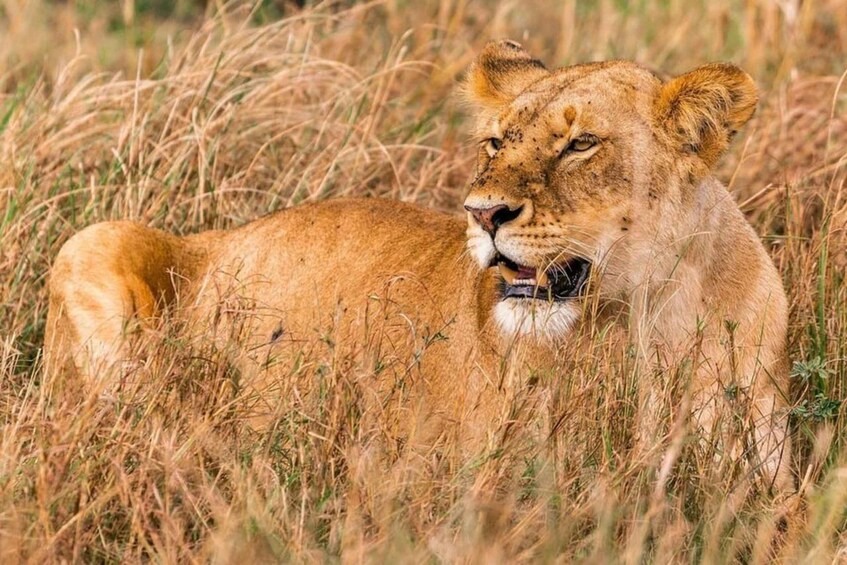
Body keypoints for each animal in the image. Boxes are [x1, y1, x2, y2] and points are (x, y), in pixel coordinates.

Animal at [44, 41, 792, 490]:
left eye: (581, 143)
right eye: (496, 142)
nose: (482, 213)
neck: (651, 316)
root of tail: (211, 238)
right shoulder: (500, 475)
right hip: (95, 240)